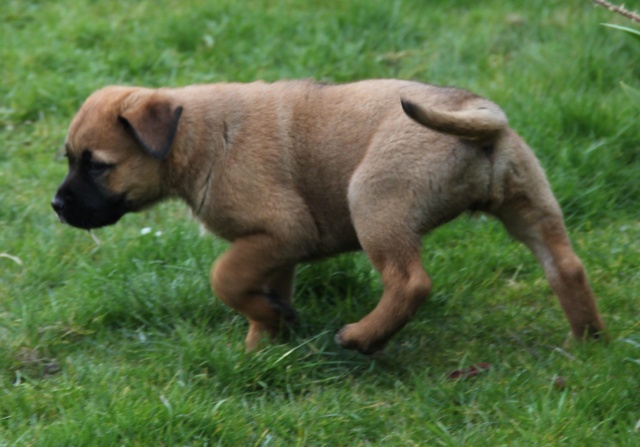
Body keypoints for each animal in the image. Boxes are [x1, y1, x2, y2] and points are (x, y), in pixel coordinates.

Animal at [52, 79, 608, 354]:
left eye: (97, 166)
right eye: (68, 159)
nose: (56, 206)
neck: (197, 135)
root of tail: (476, 115)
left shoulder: (280, 231)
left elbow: (224, 277)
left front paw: (265, 328)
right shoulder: (275, 248)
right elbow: (263, 290)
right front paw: (264, 342)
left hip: (373, 199)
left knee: (411, 282)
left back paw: (363, 337)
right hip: (529, 204)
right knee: (567, 267)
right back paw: (586, 343)